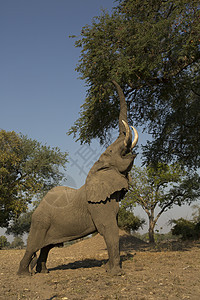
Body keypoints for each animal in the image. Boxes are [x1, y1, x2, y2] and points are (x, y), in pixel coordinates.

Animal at [17, 81, 138, 276]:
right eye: (111, 151)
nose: (111, 81)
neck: (96, 170)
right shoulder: (98, 204)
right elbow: (108, 229)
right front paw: (116, 273)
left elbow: (113, 228)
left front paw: (106, 269)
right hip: (39, 222)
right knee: (32, 247)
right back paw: (24, 275)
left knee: (46, 248)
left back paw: (43, 272)